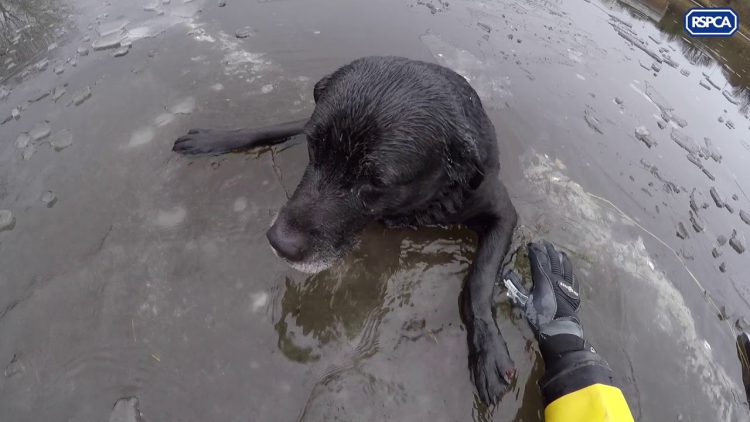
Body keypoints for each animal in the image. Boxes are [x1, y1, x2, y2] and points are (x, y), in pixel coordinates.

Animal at [173, 56, 520, 402]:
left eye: (376, 182)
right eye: (313, 147)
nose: (279, 242)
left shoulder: (501, 211)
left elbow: (478, 282)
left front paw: (487, 349)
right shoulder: (310, 124)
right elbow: (273, 126)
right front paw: (213, 139)